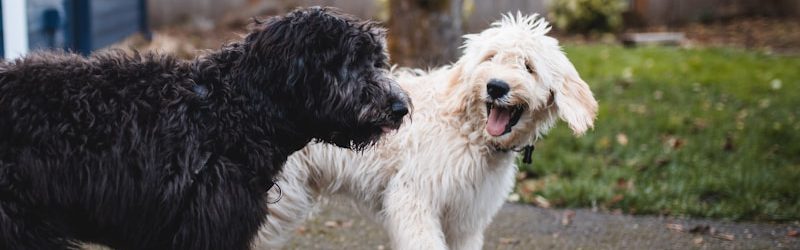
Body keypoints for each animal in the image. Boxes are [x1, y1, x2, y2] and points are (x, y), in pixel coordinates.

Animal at [253, 13, 596, 250]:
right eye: (490, 57)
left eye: (528, 66)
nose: (496, 87)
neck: (468, 132)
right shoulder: (413, 197)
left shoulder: (465, 219)